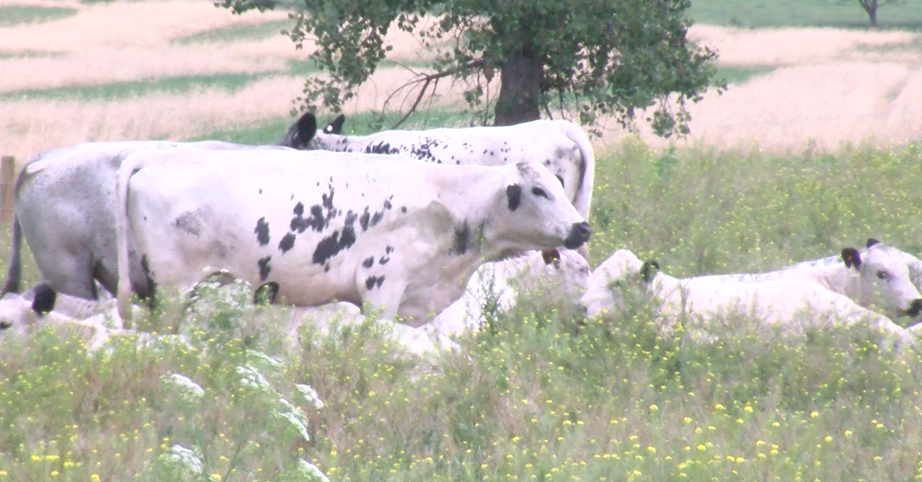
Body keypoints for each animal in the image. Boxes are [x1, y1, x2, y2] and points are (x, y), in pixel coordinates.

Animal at [114, 149, 592, 328]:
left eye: (558, 183)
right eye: (538, 190)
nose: (582, 227)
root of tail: (152, 158)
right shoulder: (381, 289)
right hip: (173, 291)